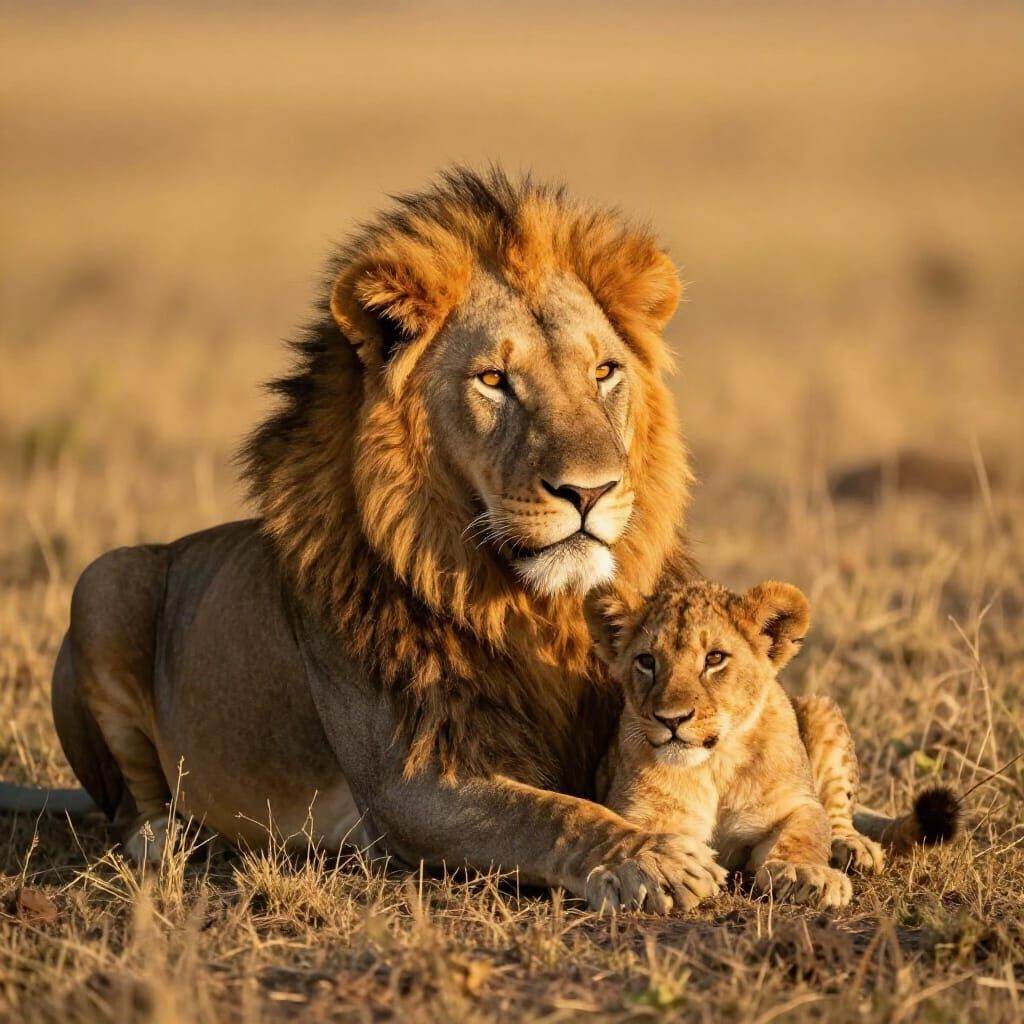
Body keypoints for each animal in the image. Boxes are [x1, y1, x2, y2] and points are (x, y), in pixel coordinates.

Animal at [1, 167, 727, 909]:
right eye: (493, 380)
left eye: (604, 371)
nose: (590, 492)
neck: (526, 604)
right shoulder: (410, 786)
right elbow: (552, 813)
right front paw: (650, 857)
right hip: (103, 581)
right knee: (130, 805)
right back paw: (168, 839)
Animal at [585, 580, 960, 909]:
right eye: (647, 661)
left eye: (714, 658)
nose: (671, 719)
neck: (714, 765)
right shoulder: (639, 813)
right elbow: (636, 837)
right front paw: (651, 869)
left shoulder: (796, 803)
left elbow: (807, 831)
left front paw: (806, 874)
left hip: (820, 707)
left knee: (839, 813)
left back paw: (853, 847)